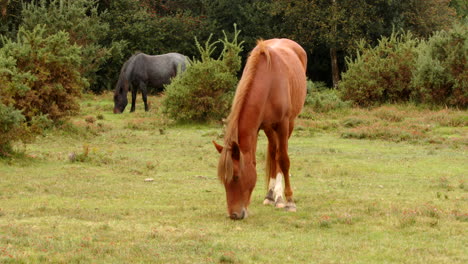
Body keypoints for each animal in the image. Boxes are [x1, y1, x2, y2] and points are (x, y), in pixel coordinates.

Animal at [215, 38, 308, 220]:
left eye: (236, 177)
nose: (234, 215)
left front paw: (289, 201)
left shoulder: (283, 124)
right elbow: (260, 159)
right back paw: (270, 195)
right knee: (273, 151)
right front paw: (271, 196)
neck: (269, 82)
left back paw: (279, 197)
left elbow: (284, 160)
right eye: (223, 180)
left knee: (279, 155)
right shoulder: (259, 127)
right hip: (269, 129)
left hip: (289, 124)